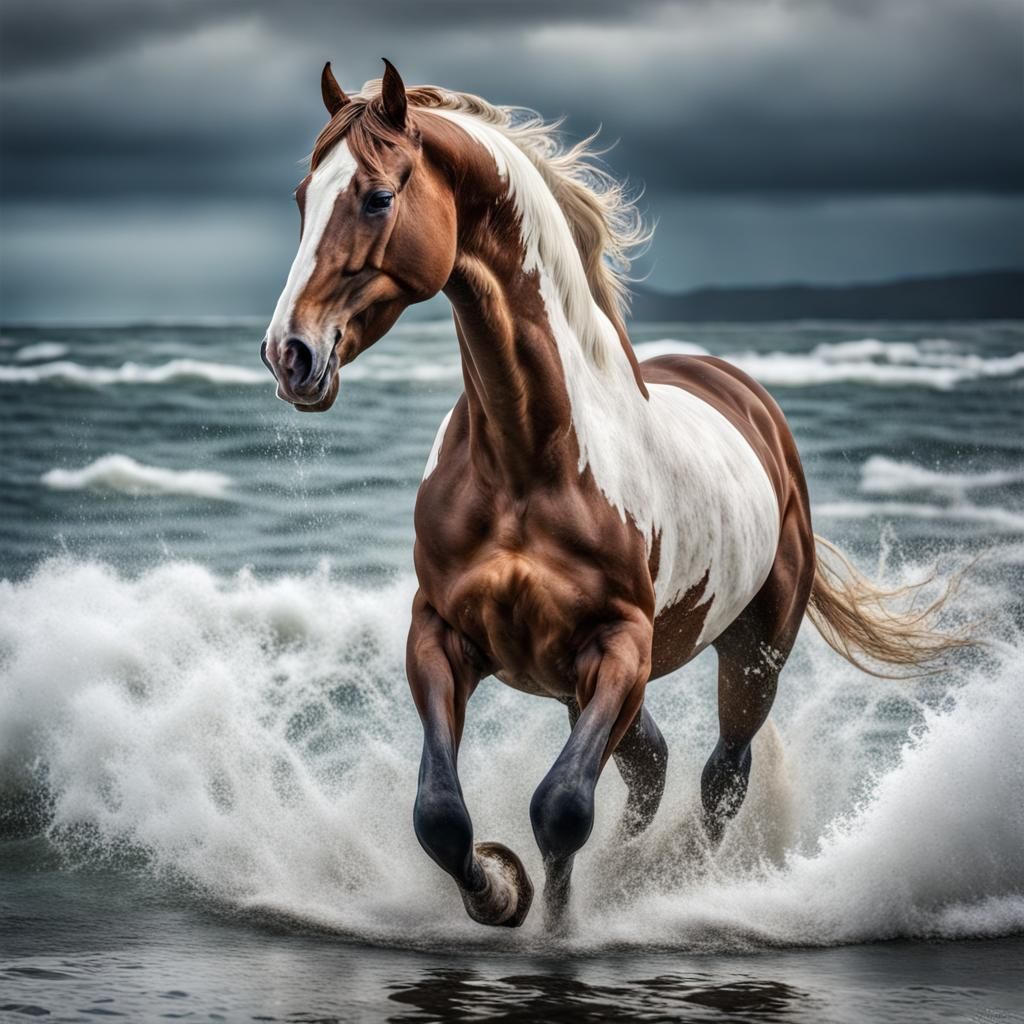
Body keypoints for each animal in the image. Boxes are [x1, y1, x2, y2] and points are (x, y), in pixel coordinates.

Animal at [260, 60, 966, 930]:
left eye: (377, 197)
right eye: (302, 197)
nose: (289, 354)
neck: (531, 461)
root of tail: (746, 396)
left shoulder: (621, 647)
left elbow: (562, 807)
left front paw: (557, 920)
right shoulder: (441, 635)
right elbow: (440, 815)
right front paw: (502, 890)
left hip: (749, 659)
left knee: (719, 778)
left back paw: (675, 884)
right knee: (653, 766)